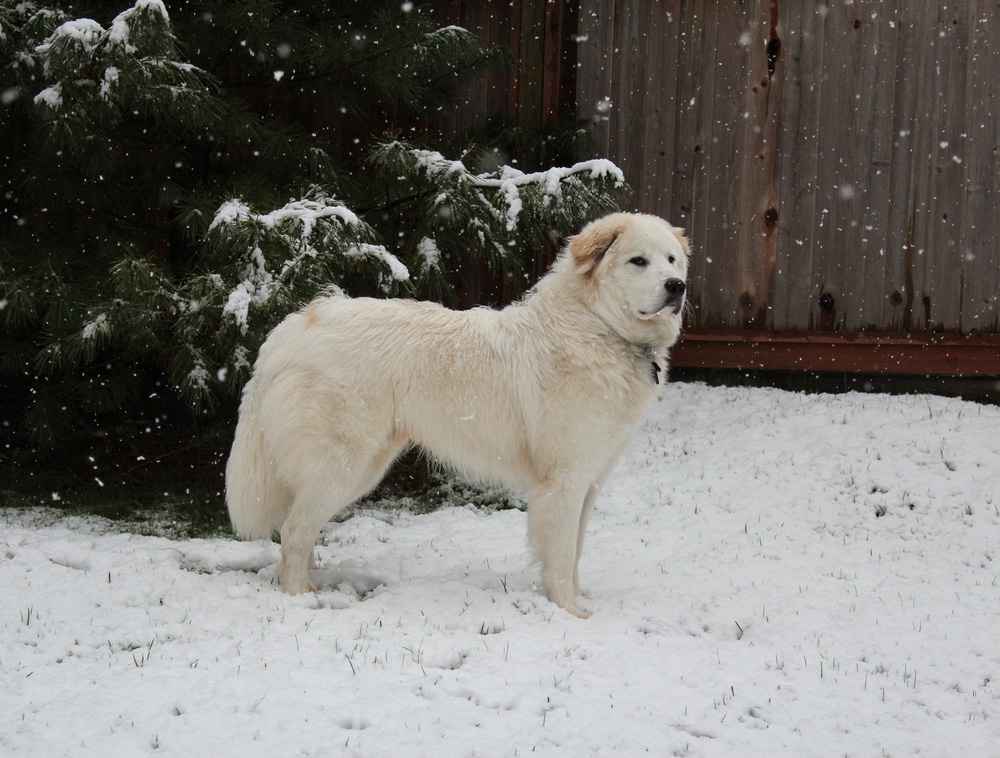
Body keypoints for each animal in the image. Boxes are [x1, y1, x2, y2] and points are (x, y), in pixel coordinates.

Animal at [226, 212, 688, 616]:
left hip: (360, 465)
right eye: (638, 261)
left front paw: (577, 599)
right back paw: (302, 596)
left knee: (299, 526)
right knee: (293, 530)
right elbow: (559, 556)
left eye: (671, 259)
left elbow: (574, 553)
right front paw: (570, 613)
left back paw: (314, 575)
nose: (677, 286)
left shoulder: (590, 481)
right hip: (342, 464)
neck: (598, 325)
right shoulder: (563, 482)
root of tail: (293, 325)